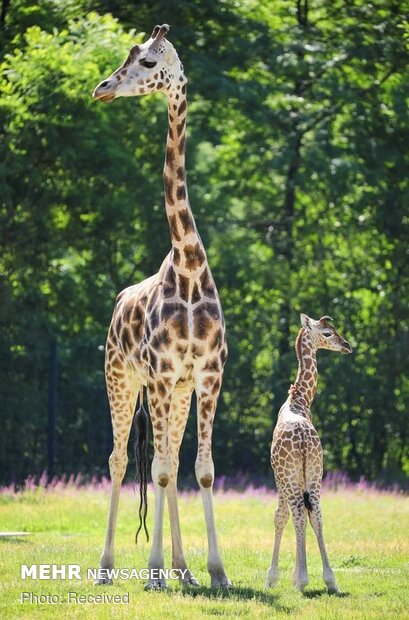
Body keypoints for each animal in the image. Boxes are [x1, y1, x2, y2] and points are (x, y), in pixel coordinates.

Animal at [266, 314, 350, 592]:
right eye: (327, 333)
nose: (347, 345)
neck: (300, 401)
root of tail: (303, 440)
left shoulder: (278, 476)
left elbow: (280, 516)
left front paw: (273, 578)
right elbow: (306, 515)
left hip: (291, 476)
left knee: (299, 513)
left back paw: (301, 580)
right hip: (315, 473)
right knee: (317, 514)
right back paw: (330, 580)